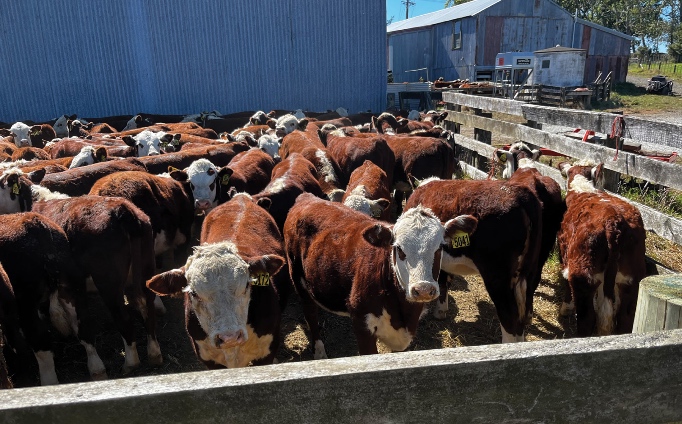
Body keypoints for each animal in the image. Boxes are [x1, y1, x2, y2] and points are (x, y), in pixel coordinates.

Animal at [147, 194, 287, 369]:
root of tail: (241, 197)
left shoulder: (266, 353)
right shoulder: (208, 360)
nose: (230, 337)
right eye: (194, 293)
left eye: (247, 285)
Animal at [284, 193, 476, 358]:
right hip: (299, 281)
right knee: (310, 314)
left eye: (440, 247)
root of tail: (307, 197)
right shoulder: (362, 324)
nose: (423, 289)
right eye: (398, 248)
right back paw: (319, 351)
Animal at [405, 178, 543, 342]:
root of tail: (520, 193)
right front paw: (441, 310)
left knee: (510, 316)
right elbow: (443, 282)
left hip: (497, 277)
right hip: (528, 273)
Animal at [557, 161, 646, 336]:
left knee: (587, 319)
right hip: (630, 282)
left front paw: (566, 308)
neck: (584, 189)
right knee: (625, 318)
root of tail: (614, 222)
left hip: (583, 278)